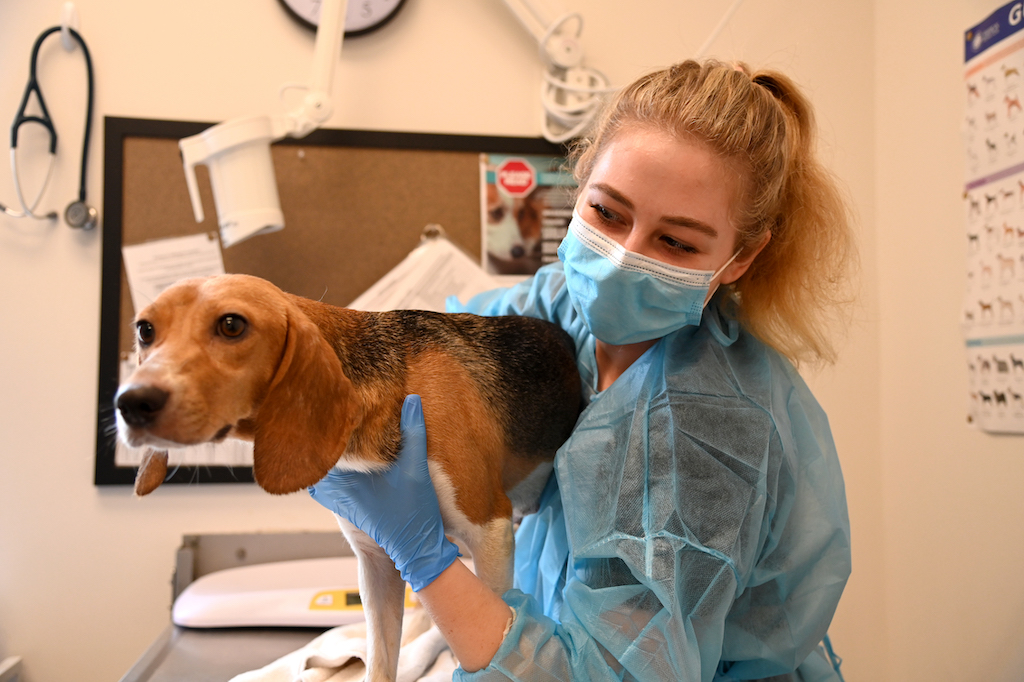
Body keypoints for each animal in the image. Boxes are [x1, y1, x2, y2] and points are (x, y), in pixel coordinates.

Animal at [116, 272, 581, 679]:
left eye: (232, 325)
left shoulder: (490, 531)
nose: (131, 402)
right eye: (145, 330)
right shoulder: (378, 556)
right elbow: (379, 660)